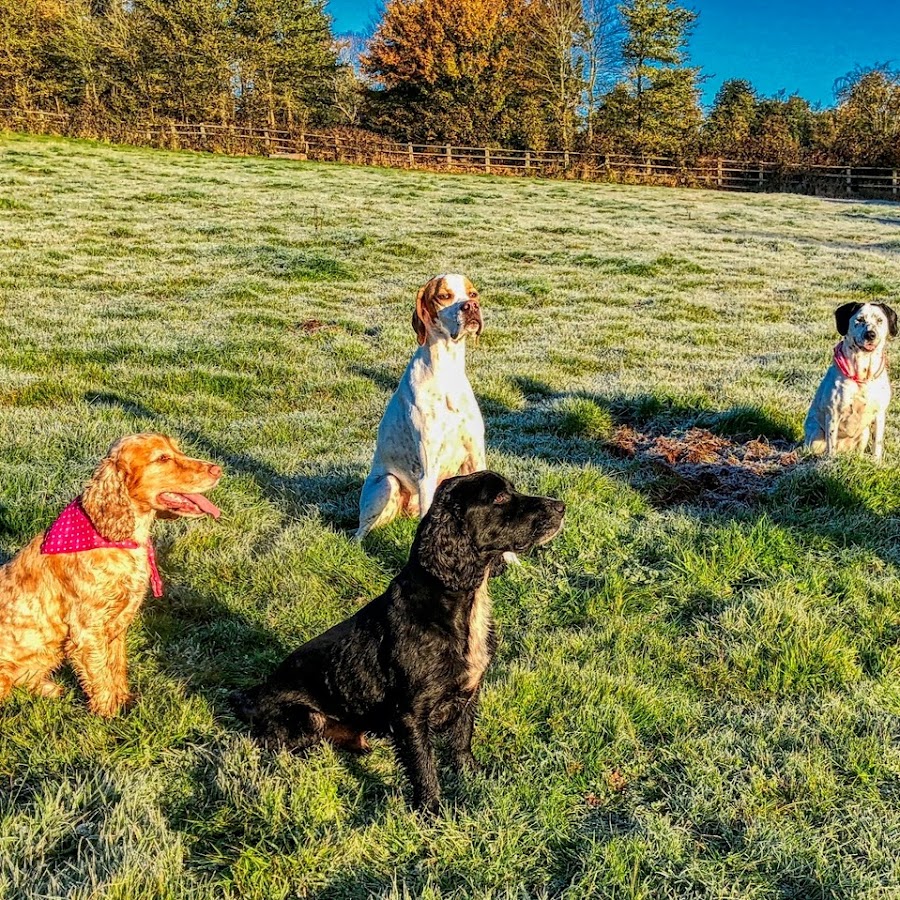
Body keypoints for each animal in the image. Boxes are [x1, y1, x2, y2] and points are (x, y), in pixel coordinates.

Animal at [0, 433, 221, 716]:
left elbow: (116, 667)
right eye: (162, 458)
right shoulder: (88, 630)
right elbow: (101, 677)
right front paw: (110, 715)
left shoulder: (118, 623)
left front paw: (125, 700)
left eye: (178, 450)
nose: (217, 469)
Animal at [235, 471, 565, 813]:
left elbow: (462, 738)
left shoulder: (469, 692)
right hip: (305, 717)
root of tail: (250, 695)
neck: (455, 605)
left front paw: (472, 776)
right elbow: (423, 764)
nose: (561, 507)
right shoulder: (410, 713)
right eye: (499, 497)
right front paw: (431, 811)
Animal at [355, 274, 486, 542]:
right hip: (386, 484)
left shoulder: (477, 458)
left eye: (473, 294)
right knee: (358, 532)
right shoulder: (428, 471)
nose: (471, 307)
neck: (447, 372)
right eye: (443, 296)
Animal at [804, 302, 897, 459]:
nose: (870, 334)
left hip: (864, 434)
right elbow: (831, 445)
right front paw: (831, 461)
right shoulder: (833, 413)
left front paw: (876, 462)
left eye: (879, 320)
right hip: (816, 435)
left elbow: (877, 444)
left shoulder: (879, 414)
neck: (863, 374)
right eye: (859, 320)